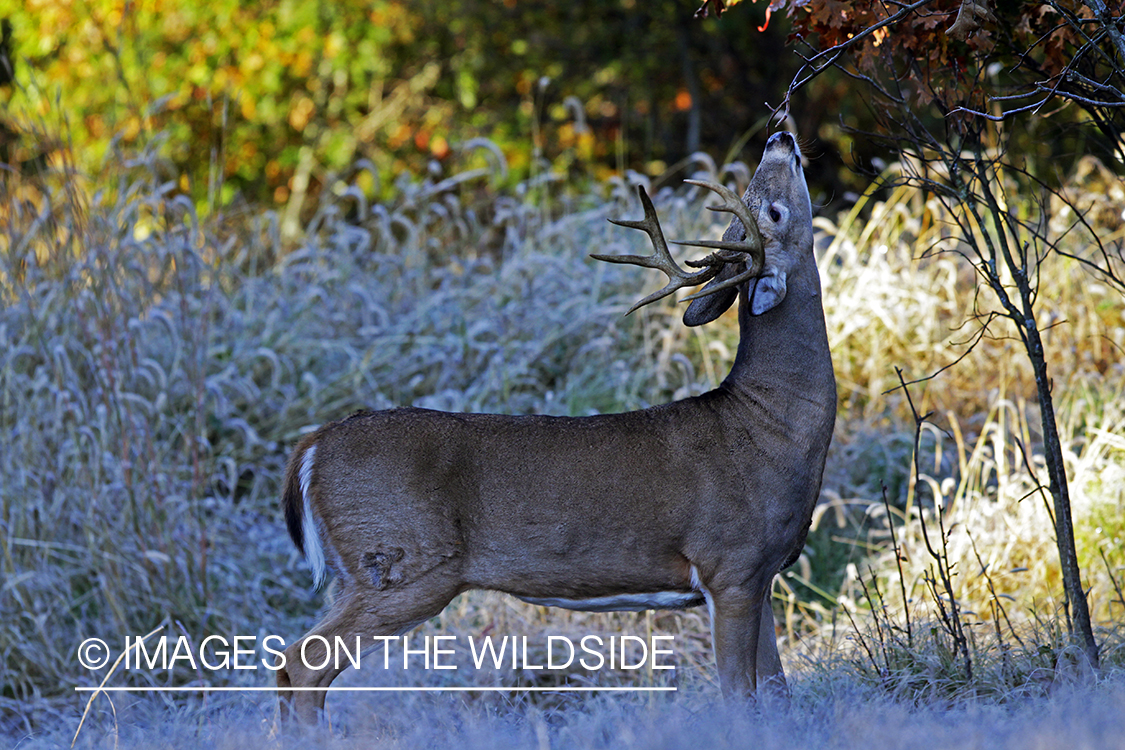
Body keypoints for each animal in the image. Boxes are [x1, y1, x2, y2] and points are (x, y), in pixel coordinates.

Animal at [272, 132, 837, 724]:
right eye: (773, 210)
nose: (781, 137)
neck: (767, 422)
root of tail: (312, 447)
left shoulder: (761, 576)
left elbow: (776, 690)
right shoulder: (729, 563)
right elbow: (740, 695)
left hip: (360, 573)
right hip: (403, 563)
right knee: (302, 663)